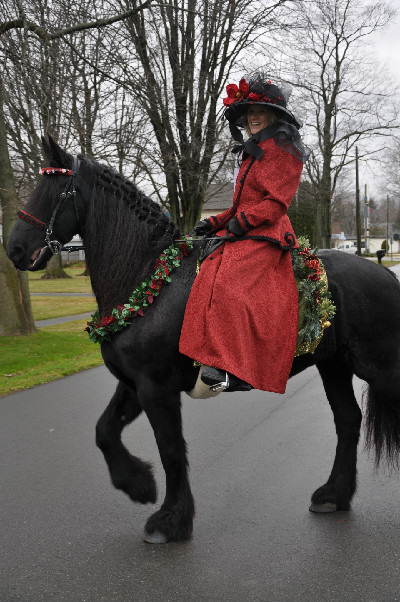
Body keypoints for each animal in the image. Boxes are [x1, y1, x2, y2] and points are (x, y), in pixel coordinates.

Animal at [7, 138, 400, 540]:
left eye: (55, 191)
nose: (15, 250)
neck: (149, 279)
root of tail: (384, 272)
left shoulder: (156, 388)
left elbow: (171, 450)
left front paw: (169, 520)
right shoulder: (134, 384)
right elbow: (105, 431)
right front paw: (139, 485)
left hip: (380, 367)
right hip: (334, 365)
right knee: (348, 420)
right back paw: (333, 495)